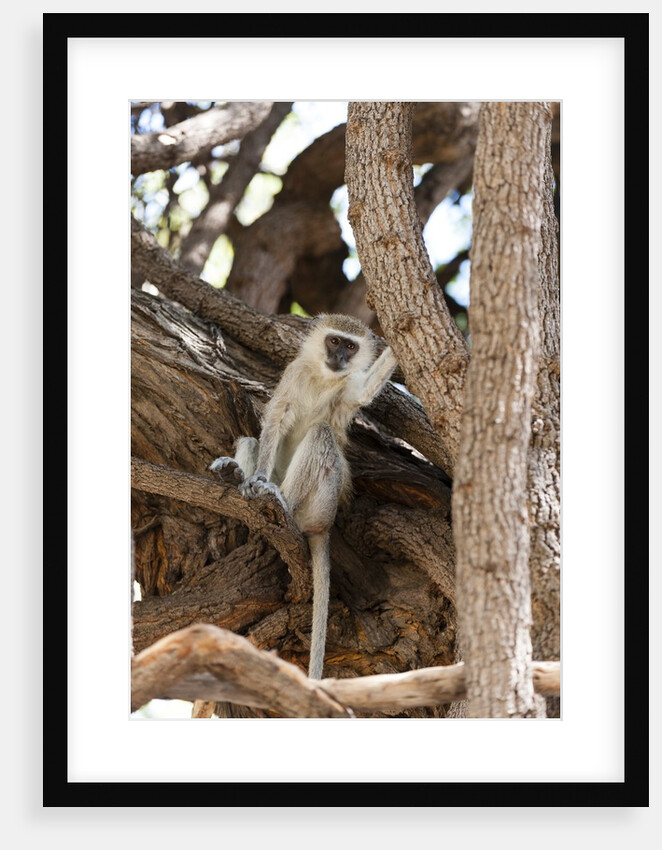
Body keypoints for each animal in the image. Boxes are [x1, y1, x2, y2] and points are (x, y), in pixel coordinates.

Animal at [210, 314, 397, 679]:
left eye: (350, 346)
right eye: (334, 342)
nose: (339, 358)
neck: (324, 378)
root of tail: (324, 524)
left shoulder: (348, 387)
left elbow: (364, 392)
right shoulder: (294, 373)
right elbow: (274, 422)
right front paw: (255, 476)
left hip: (320, 503)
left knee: (321, 435)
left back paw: (280, 500)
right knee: (252, 441)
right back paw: (240, 477)